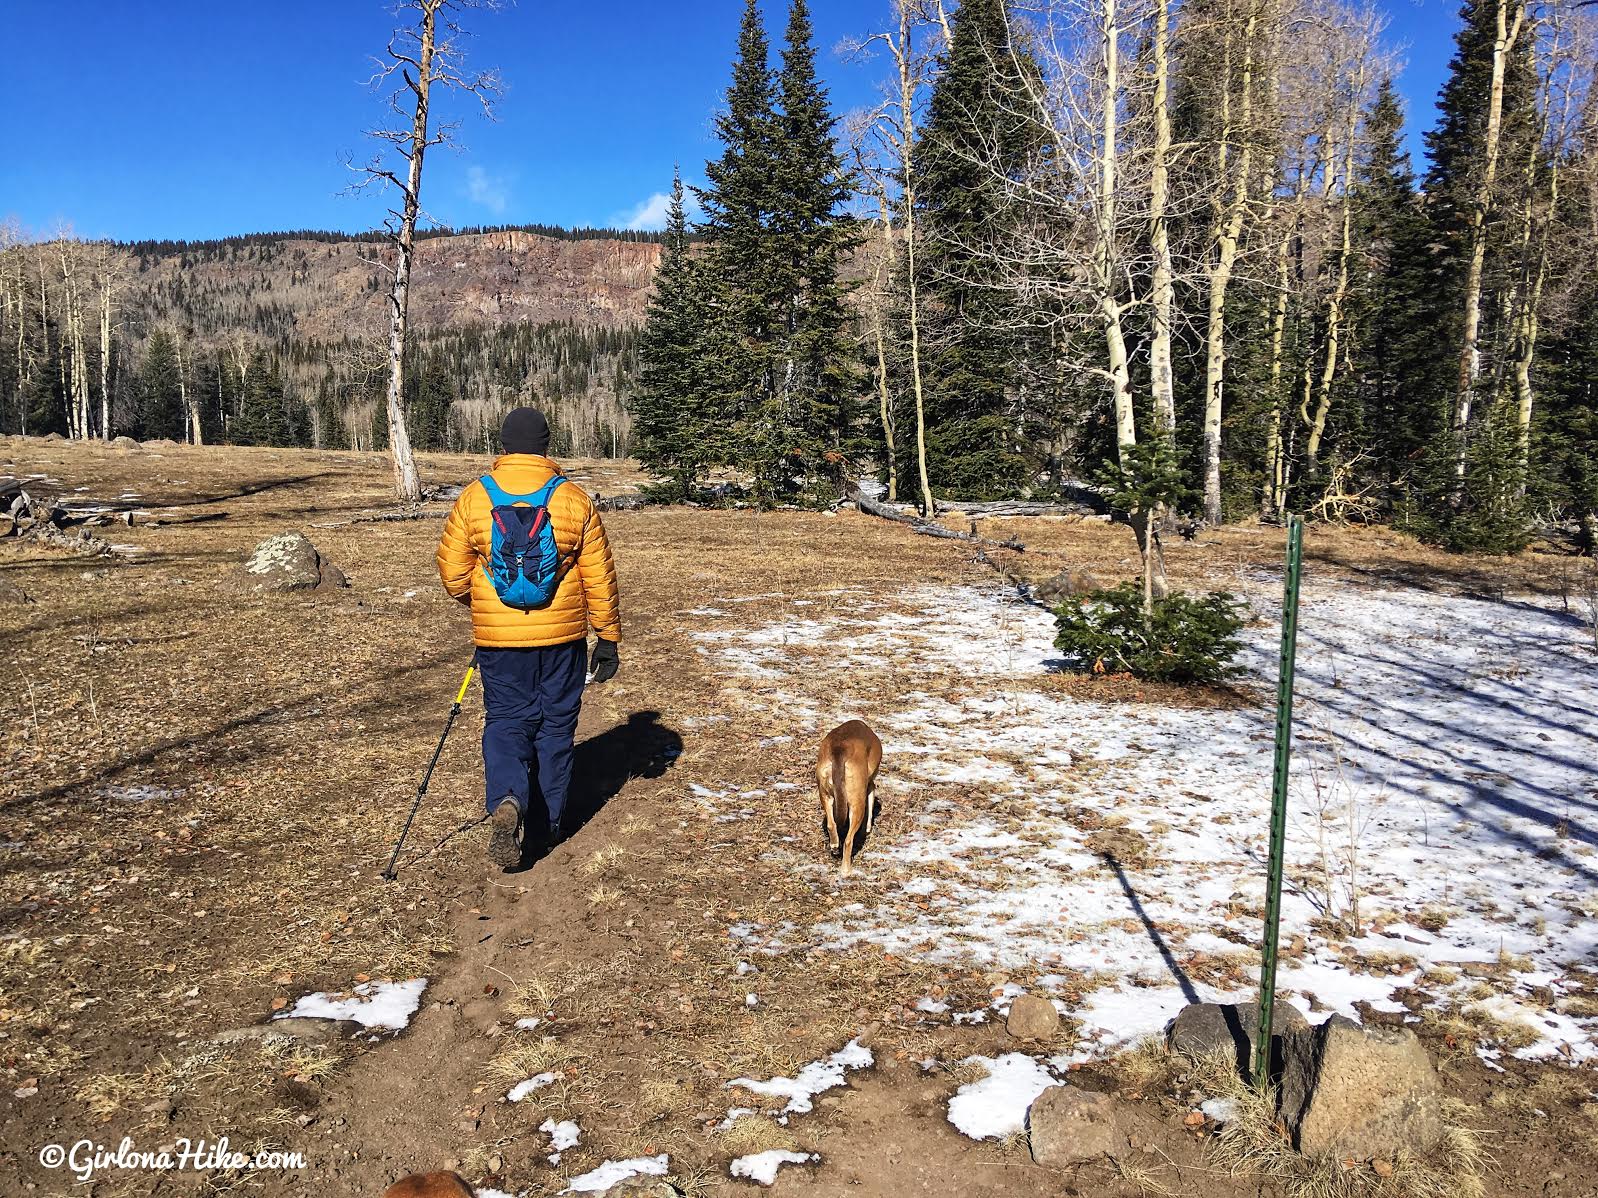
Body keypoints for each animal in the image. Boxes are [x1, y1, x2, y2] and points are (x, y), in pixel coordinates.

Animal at [818, 718, 882, 875]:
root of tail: (839, 750)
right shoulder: (869, 788)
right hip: (856, 805)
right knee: (848, 840)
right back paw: (846, 870)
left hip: (824, 795)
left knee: (831, 824)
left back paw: (835, 846)